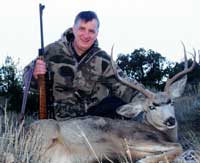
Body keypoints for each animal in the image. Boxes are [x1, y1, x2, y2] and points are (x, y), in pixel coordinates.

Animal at [25, 43, 196, 163]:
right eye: (151, 107)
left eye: (171, 102)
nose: (170, 120)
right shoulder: (134, 138)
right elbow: (179, 147)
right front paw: (144, 160)